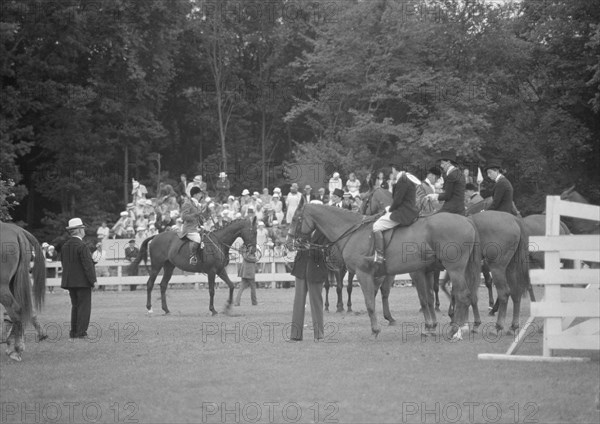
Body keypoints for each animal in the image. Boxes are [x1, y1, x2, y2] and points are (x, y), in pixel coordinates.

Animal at [288, 200, 482, 340]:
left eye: (295, 219)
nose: (289, 242)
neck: (353, 232)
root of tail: (467, 219)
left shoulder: (364, 273)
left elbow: (370, 303)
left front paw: (375, 330)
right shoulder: (381, 275)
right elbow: (385, 298)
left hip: (455, 269)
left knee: (463, 295)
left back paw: (455, 330)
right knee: (467, 295)